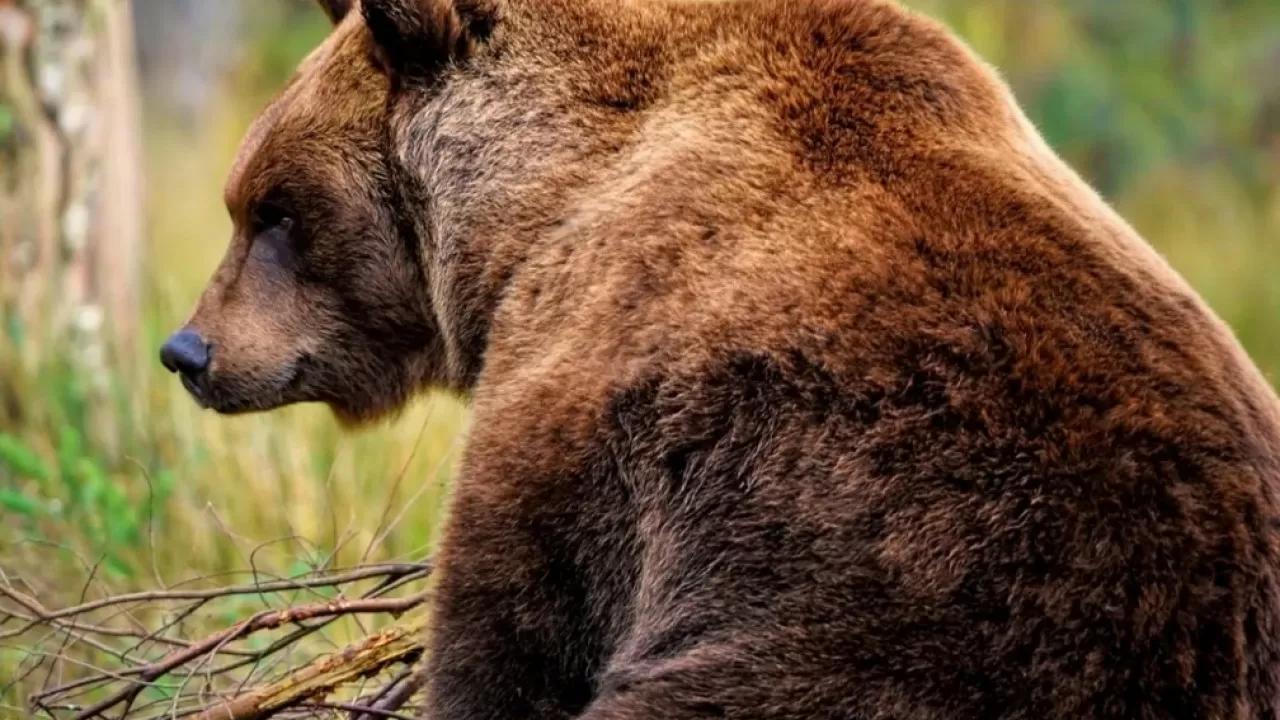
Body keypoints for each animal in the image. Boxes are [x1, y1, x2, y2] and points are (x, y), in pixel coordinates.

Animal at [162, 0, 1280, 712]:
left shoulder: (598, 402)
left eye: (273, 209)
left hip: (924, 627)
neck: (535, 205)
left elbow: (513, 629)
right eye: (247, 199)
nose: (187, 347)